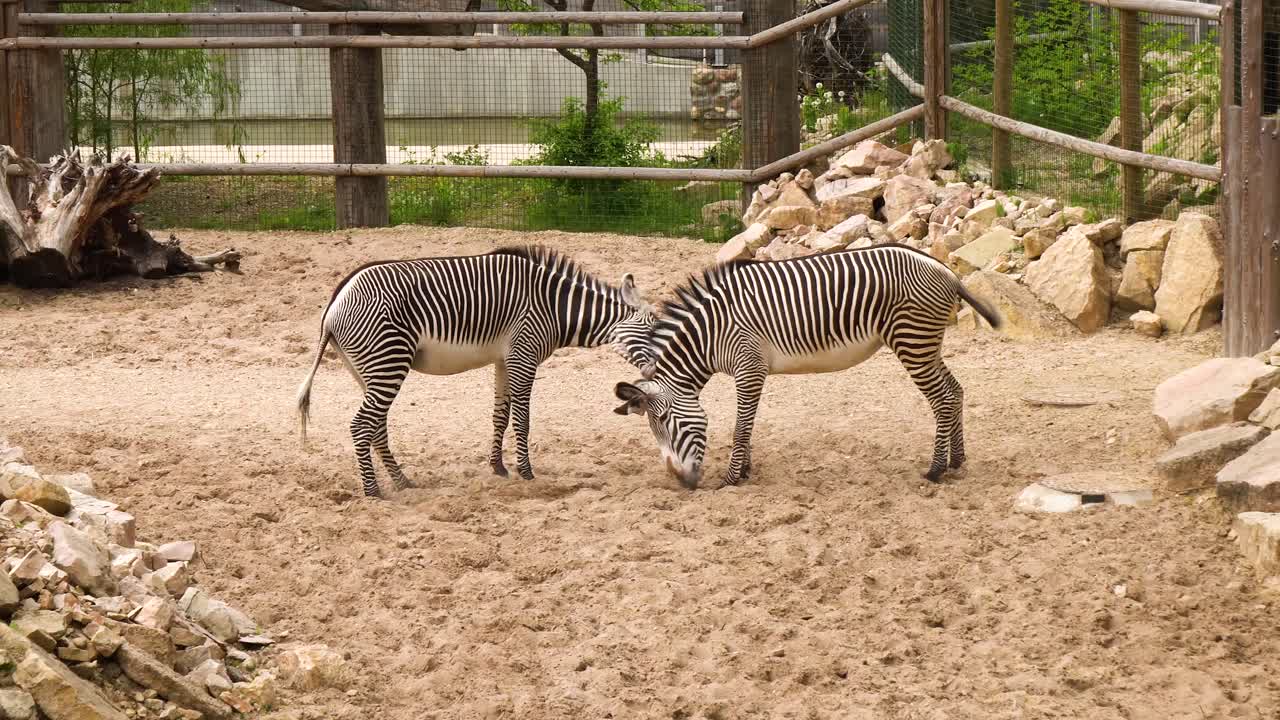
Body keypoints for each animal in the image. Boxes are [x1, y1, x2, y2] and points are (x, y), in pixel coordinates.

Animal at [296, 245, 658, 498]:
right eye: (653, 332)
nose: (656, 369)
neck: (555, 307)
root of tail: (334, 304)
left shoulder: (504, 360)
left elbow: (500, 415)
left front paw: (498, 467)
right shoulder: (524, 355)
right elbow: (522, 419)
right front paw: (527, 472)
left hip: (367, 370)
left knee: (376, 427)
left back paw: (402, 481)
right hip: (388, 362)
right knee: (361, 426)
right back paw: (373, 492)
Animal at [611, 243, 1002, 490]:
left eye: (664, 421)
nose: (684, 484)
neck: (710, 334)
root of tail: (947, 272)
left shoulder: (749, 367)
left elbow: (740, 427)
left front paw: (732, 478)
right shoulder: (750, 372)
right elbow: (747, 426)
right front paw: (745, 470)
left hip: (912, 340)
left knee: (943, 399)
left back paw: (935, 470)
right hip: (925, 343)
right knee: (955, 391)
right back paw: (957, 462)